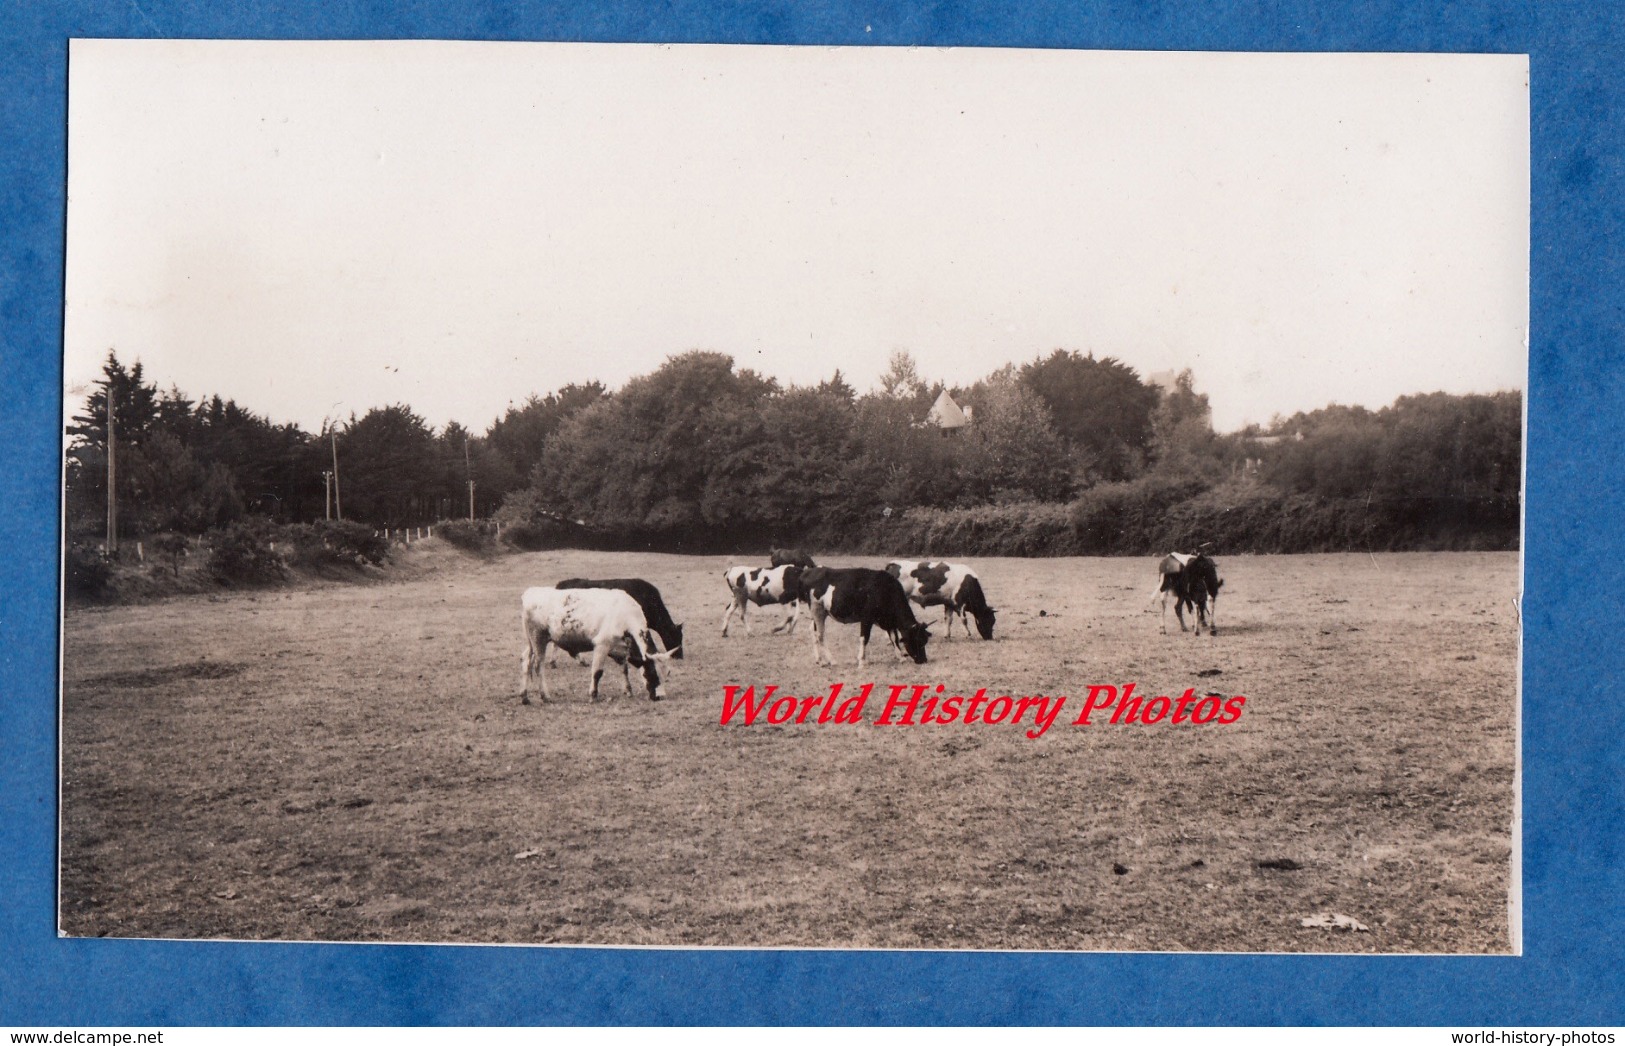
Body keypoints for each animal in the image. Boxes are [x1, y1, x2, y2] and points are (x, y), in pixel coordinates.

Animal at [520, 587, 672, 701]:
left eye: (667, 673)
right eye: (652, 673)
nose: (660, 697)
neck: (625, 615)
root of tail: (531, 592)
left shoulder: (621, 648)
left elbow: (624, 670)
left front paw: (628, 690)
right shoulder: (602, 645)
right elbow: (597, 672)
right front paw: (593, 695)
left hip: (532, 642)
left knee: (526, 660)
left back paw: (524, 696)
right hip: (538, 638)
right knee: (538, 665)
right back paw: (545, 696)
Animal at [796, 568, 929, 665]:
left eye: (925, 640)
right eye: (917, 640)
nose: (923, 660)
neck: (885, 589)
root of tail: (808, 572)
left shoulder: (888, 621)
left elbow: (894, 638)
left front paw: (901, 657)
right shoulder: (866, 618)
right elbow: (864, 638)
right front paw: (862, 660)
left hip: (819, 613)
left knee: (812, 631)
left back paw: (819, 660)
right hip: (817, 610)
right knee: (820, 635)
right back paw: (832, 660)